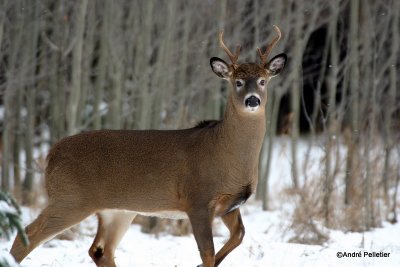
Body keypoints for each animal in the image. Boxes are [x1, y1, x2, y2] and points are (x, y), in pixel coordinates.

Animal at [10, 25, 288, 267]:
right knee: (27, 236)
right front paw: (201, 263)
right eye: (237, 82)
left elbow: (238, 235)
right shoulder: (197, 199)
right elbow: (207, 253)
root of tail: (51, 154)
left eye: (263, 81)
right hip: (70, 198)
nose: (252, 100)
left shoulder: (230, 205)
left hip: (116, 210)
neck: (227, 155)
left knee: (100, 250)